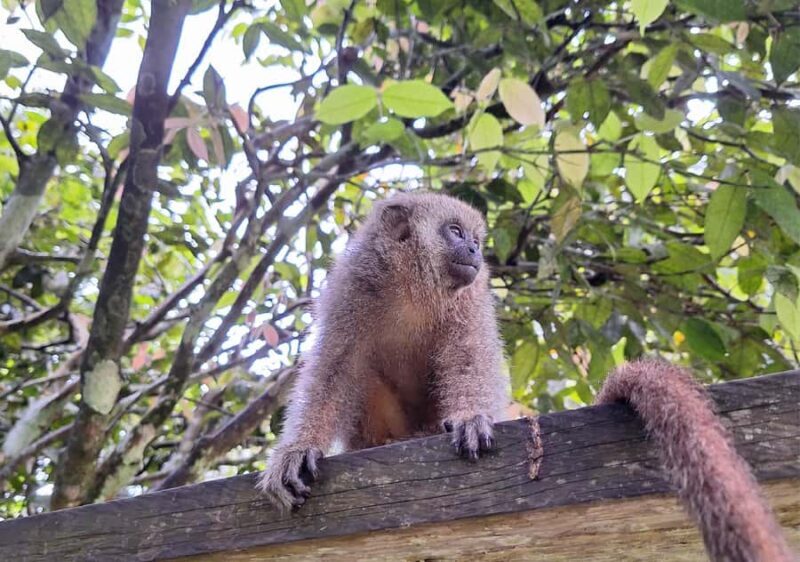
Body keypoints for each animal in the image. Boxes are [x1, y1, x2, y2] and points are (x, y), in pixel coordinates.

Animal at [257, 191, 508, 510]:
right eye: (456, 232)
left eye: (476, 239)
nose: (475, 249)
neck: (413, 290)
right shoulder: (352, 287)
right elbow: (335, 368)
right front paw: (298, 449)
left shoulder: (472, 296)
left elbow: (468, 355)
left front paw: (470, 418)